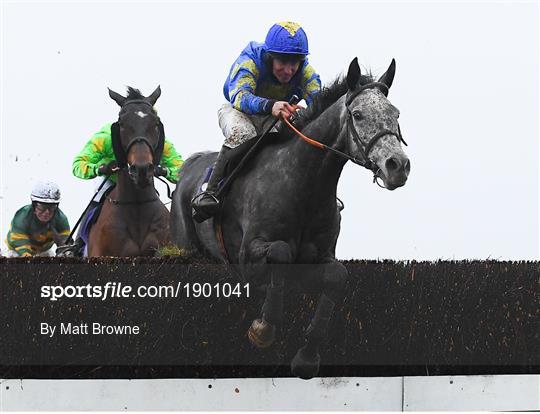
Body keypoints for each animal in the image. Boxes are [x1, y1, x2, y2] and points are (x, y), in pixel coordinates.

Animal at [171, 57, 412, 378]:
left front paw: (307, 355)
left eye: (395, 114)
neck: (303, 184)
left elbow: (337, 276)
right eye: (358, 115)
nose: (397, 165)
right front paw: (264, 328)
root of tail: (188, 167)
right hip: (186, 246)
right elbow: (281, 253)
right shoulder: (248, 255)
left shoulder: (317, 259)